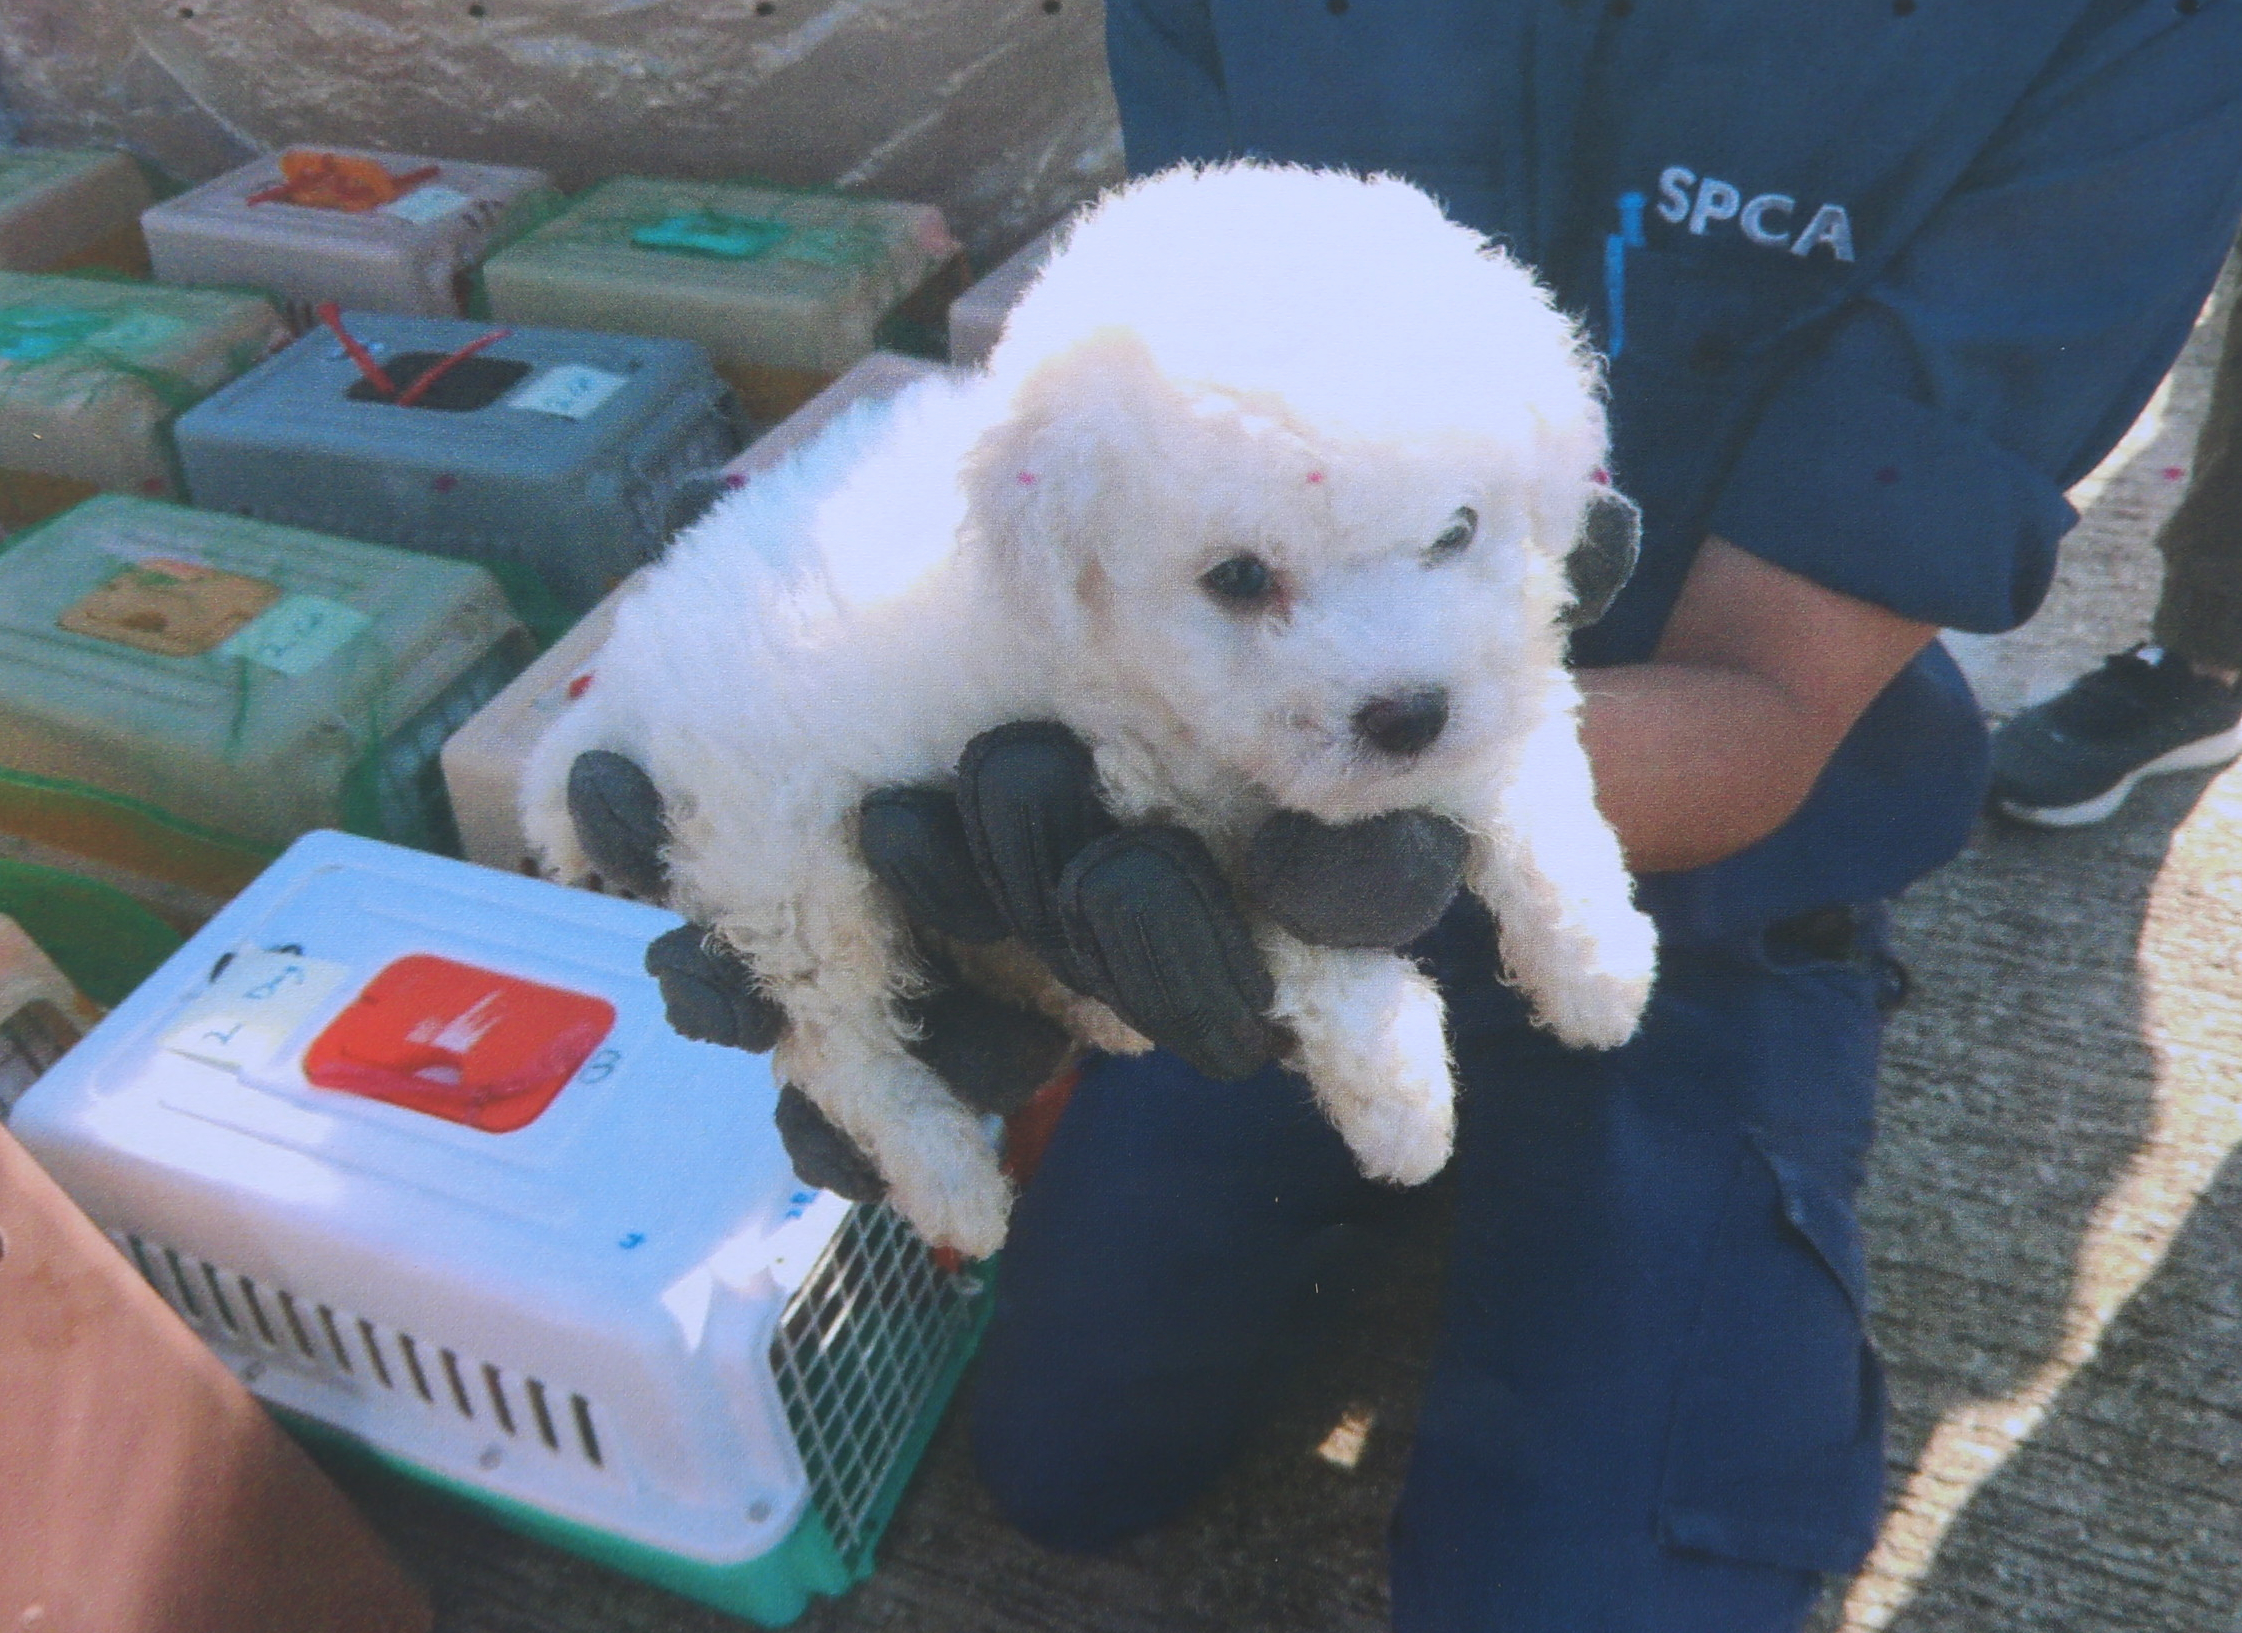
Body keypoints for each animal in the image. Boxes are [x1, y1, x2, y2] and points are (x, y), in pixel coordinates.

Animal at [520, 165, 1650, 1256]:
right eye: (1239, 578)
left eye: (1457, 530)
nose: (1406, 714)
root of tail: (632, 649)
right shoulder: (1167, 806)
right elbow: (1303, 941)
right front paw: (1399, 1096)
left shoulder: (1499, 677)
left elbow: (1538, 796)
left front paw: (1595, 965)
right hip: (784, 863)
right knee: (833, 1037)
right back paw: (948, 1184)